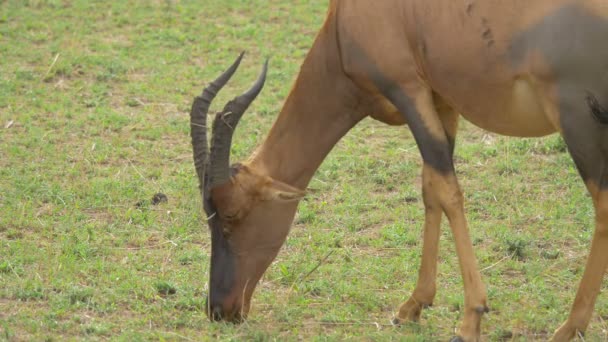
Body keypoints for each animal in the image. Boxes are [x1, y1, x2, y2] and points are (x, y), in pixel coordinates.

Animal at [192, 1, 608, 340]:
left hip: (577, 118)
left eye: (231, 215)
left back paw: (570, 327)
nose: (220, 310)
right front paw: (413, 306)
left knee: (603, 205)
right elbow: (431, 190)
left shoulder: (408, 90)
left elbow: (448, 192)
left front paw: (469, 321)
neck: (348, 20)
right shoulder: (442, 103)